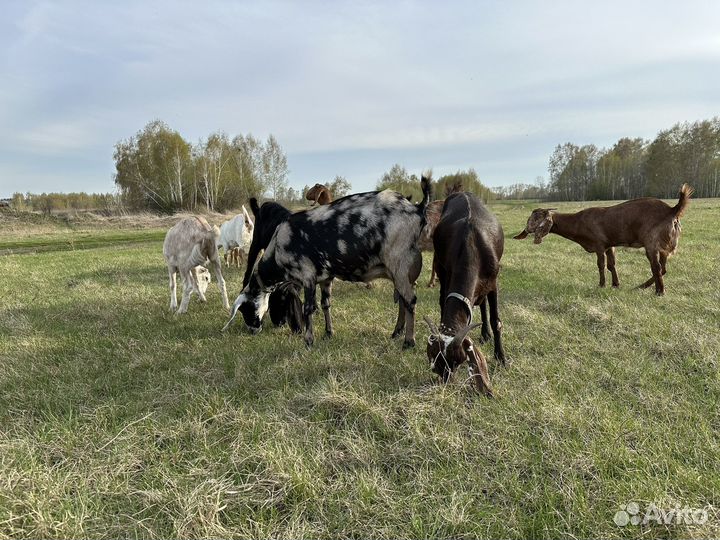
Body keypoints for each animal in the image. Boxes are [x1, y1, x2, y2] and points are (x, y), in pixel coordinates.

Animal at [224, 177, 433, 348]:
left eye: (245, 309)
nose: (253, 329)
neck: (278, 247)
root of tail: (417, 208)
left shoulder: (307, 276)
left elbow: (308, 309)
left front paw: (308, 341)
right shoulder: (325, 278)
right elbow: (325, 304)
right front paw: (328, 333)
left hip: (400, 264)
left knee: (410, 300)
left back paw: (409, 341)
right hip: (402, 271)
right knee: (403, 300)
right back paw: (396, 333)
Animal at [424, 192, 505, 396]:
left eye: (456, 361)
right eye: (435, 362)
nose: (446, 381)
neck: (471, 245)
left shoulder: (493, 282)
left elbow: (496, 321)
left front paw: (501, 357)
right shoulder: (445, 273)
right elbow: (442, 301)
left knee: (483, 304)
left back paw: (486, 333)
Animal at [513, 184, 693, 295]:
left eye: (536, 218)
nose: (527, 230)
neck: (578, 223)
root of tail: (673, 210)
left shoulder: (598, 243)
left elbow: (601, 265)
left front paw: (601, 284)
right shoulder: (609, 245)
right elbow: (611, 265)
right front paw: (615, 284)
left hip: (652, 242)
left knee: (656, 267)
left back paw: (659, 291)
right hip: (664, 246)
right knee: (663, 268)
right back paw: (642, 287)